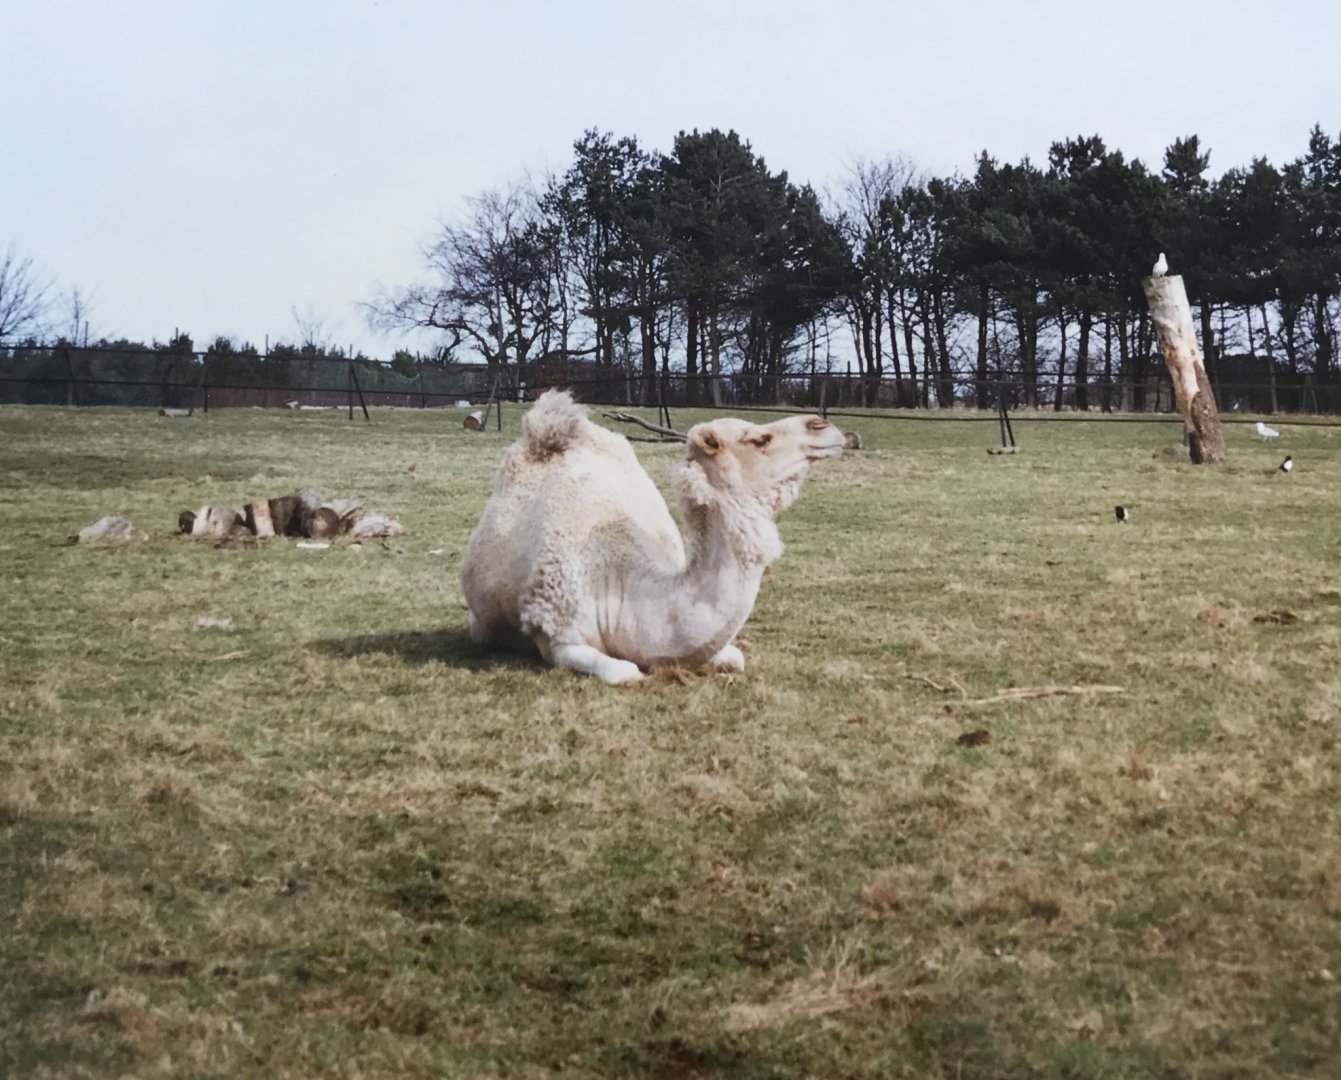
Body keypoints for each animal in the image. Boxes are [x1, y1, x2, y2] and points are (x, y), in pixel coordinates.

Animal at [459, 390, 845, 684]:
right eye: (759, 439)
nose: (823, 425)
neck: (621, 581)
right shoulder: (559, 636)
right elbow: (626, 673)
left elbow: (735, 658)